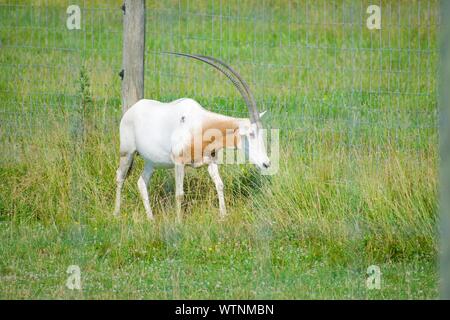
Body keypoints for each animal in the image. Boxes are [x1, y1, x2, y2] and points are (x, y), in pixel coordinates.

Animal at [114, 53, 270, 221]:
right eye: (251, 134)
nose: (266, 163)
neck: (201, 125)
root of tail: (131, 110)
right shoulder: (179, 162)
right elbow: (179, 194)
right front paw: (178, 222)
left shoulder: (211, 161)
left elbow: (220, 185)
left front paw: (223, 216)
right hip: (127, 152)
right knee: (120, 177)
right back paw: (116, 213)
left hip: (151, 162)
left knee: (141, 183)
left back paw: (151, 218)